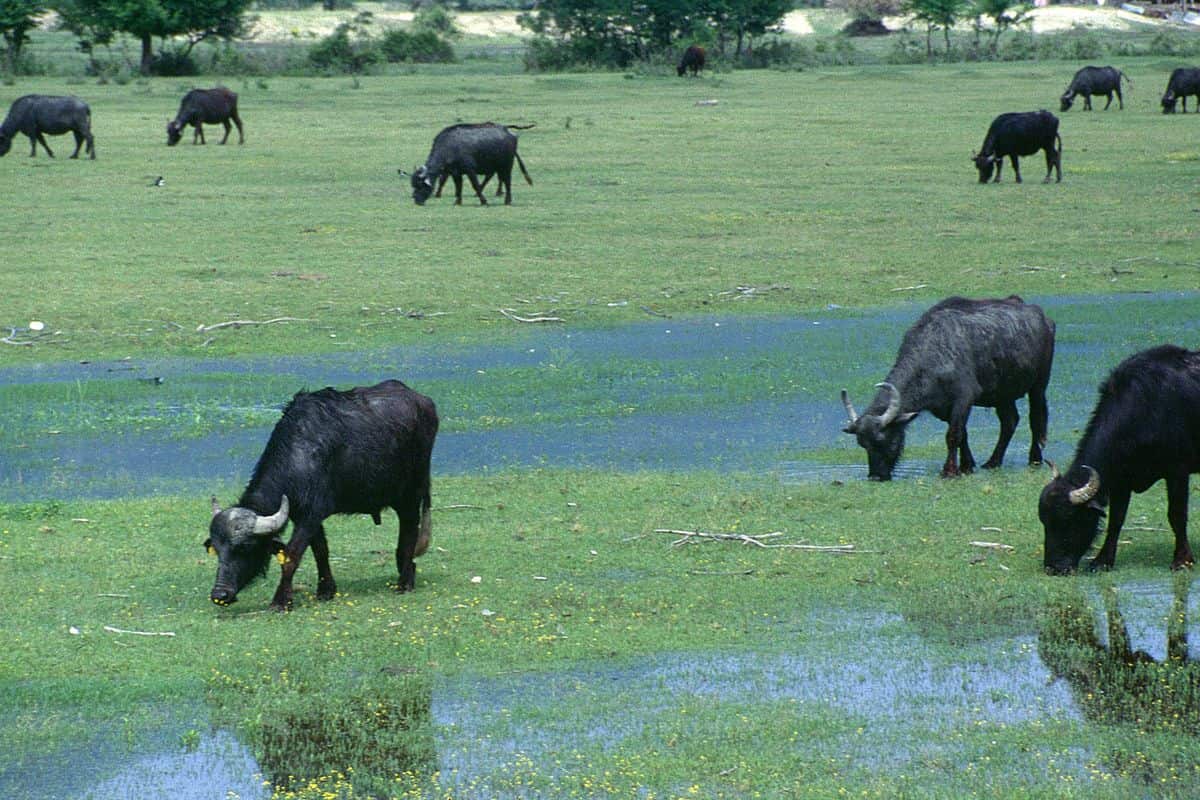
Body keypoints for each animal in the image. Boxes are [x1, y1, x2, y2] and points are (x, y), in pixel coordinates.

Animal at [205, 380, 438, 610]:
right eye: (217, 549)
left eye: (244, 547)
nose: (220, 594)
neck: (299, 457)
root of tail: (424, 401)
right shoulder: (304, 516)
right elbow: (320, 550)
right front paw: (326, 590)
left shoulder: (311, 514)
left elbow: (291, 555)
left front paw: (281, 600)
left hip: (412, 493)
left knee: (410, 529)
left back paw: (404, 582)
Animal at [841, 295, 1055, 481]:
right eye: (862, 444)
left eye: (884, 440)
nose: (875, 476)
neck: (932, 355)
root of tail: (1043, 316)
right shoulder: (942, 408)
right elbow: (962, 434)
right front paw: (967, 466)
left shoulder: (964, 398)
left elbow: (953, 435)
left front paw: (950, 471)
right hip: (1002, 394)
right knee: (1010, 421)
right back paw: (993, 462)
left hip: (1039, 385)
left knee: (1035, 418)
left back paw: (1034, 459)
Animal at [1040, 345, 1200, 575]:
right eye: (1045, 521)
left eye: (1069, 519)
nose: (1054, 567)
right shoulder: (1121, 480)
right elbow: (1116, 519)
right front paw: (1102, 560)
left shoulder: (1177, 471)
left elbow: (1176, 515)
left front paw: (1182, 559)